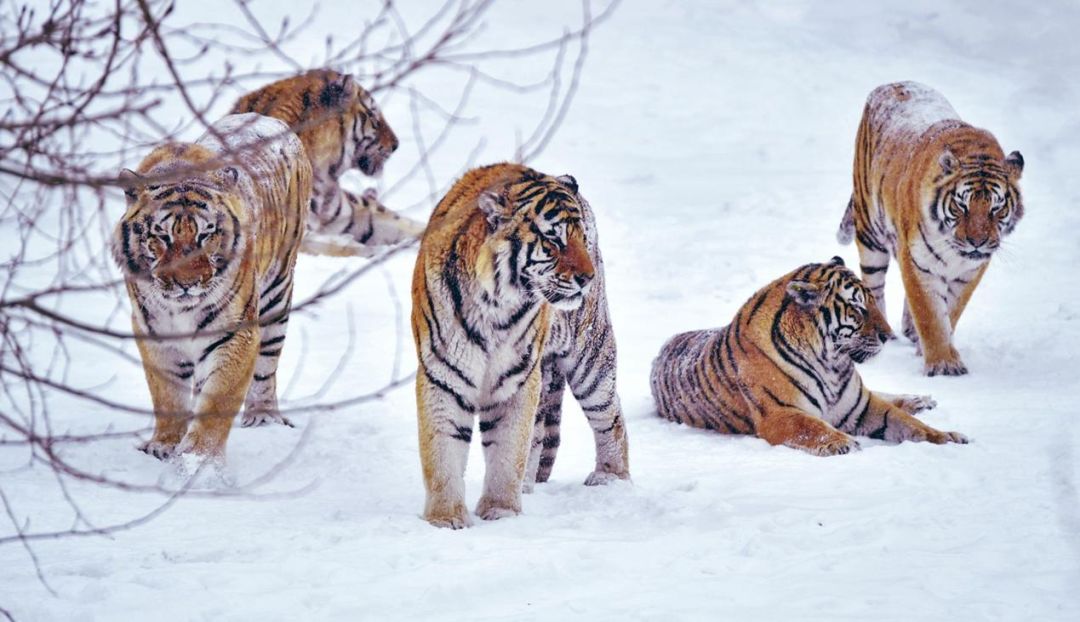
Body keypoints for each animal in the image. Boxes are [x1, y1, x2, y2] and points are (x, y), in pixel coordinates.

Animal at [112, 111, 311, 464]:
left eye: (206, 235)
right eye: (162, 236)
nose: (188, 284)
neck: (179, 309)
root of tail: (267, 118)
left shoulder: (234, 334)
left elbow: (218, 399)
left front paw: (198, 458)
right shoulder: (155, 335)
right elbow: (168, 395)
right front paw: (164, 445)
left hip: (277, 293)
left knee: (266, 366)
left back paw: (263, 416)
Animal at [233, 69, 425, 257]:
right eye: (371, 115)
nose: (396, 145)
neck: (325, 178)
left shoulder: (351, 216)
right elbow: (339, 247)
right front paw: (375, 252)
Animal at [412, 163, 630, 526]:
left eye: (581, 237)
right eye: (554, 239)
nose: (587, 278)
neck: (495, 305)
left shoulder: (516, 378)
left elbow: (507, 449)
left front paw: (502, 512)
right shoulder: (443, 374)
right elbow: (442, 451)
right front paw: (445, 519)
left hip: (590, 357)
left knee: (611, 418)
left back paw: (611, 478)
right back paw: (529, 484)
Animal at [643, 257, 967, 457]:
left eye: (872, 302)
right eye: (858, 308)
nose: (889, 335)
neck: (831, 362)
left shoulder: (862, 405)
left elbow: (909, 424)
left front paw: (948, 437)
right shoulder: (781, 413)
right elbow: (813, 428)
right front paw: (843, 443)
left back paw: (921, 400)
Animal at [838, 80, 1023, 375]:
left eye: (996, 208)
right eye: (961, 205)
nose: (977, 242)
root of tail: (893, 83)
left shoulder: (969, 273)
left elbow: (950, 311)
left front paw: (931, 349)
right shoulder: (917, 262)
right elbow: (929, 314)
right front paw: (943, 365)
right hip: (870, 233)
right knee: (873, 285)